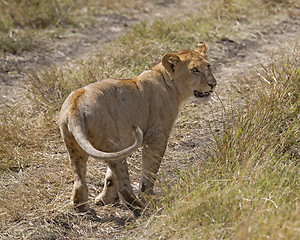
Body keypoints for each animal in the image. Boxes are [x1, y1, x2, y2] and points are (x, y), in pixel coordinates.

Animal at [58, 41, 217, 214]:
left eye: (208, 66)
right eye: (195, 70)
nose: (213, 84)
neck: (169, 84)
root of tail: (76, 106)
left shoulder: (125, 143)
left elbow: (110, 177)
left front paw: (104, 200)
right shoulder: (157, 135)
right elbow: (150, 171)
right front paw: (148, 196)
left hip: (76, 146)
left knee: (80, 179)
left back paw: (82, 207)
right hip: (111, 141)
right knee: (123, 184)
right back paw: (139, 208)